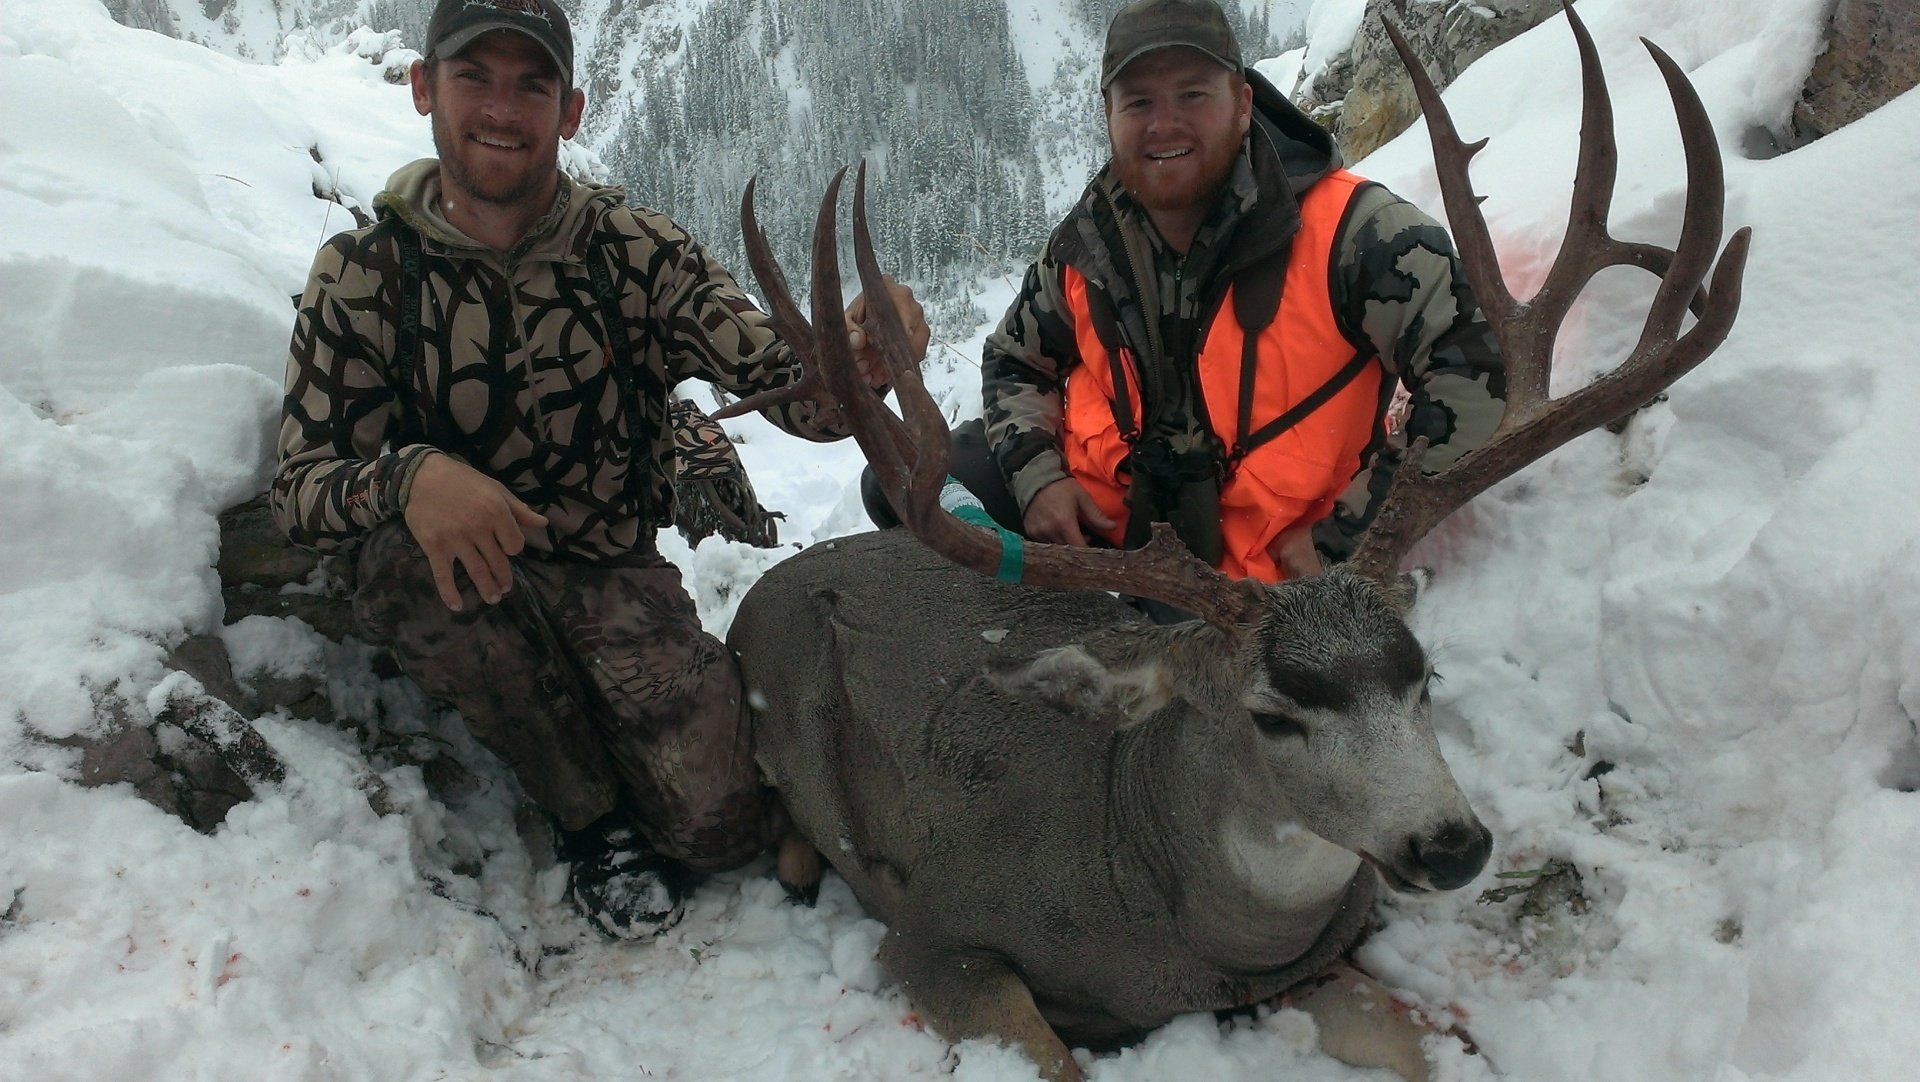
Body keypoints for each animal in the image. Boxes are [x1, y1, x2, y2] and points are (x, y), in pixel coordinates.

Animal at [721, 7, 1750, 1079]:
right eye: (1271, 714)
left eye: (1424, 677)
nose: (1452, 845)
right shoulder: (938, 937)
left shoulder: (1313, 964)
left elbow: (1435, 1043)